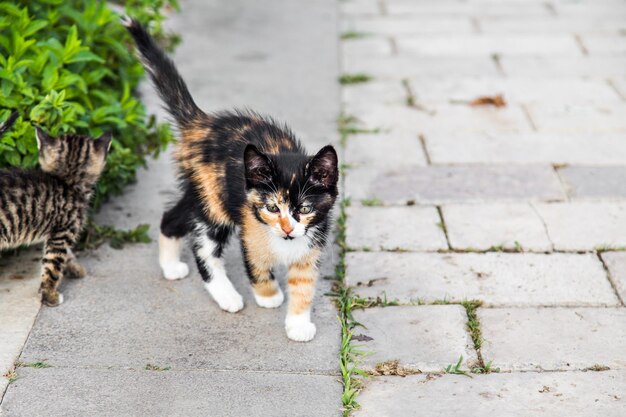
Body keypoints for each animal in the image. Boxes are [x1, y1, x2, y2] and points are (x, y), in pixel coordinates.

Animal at [0, 110, 111, 306]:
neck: (67, 182)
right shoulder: (62, 233)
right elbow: (52, 266)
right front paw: (50, 295)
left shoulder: (56, 233)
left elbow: (67, 255)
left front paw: (75, 268)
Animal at [123, 17, 336, 340]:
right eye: (272, 207)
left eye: (305, 209)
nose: (287, 229)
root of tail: (201, 123)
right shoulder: (251, 227)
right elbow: (257, 266)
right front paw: (269, 296)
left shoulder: (310, 244)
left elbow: (303, 285)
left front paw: (298, 325)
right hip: (214, 201)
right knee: (203, 247)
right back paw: (226, 295)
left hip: (201, 191)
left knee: (172, 216)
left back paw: (171, 265)